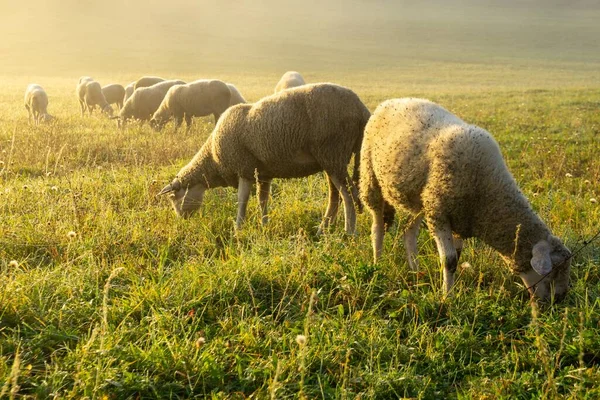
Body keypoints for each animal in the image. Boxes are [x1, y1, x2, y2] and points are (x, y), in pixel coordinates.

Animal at [157, 83, 368, 234]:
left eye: (174, 198)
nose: (182, 222)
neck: (213, 159)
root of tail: (361, 109)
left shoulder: (244, 168)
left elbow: (242, 200)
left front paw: (238, 228)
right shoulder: (263, 173)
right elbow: (262, 200)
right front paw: (263, 224)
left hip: (333, 152)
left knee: (349, 194)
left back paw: (349, 232)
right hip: (330, 159)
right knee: (335, 196)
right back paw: (323, 230)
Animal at [360, 97, 572, 304]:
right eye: (554, 270)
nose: (560, 299)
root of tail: (389, 102)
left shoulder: (458, 217)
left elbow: (457, 255)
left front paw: (453, 287)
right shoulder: (440, 214)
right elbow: (450, 261)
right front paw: (447, 296)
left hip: (422, 199)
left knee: (408, 232)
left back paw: (415, 270)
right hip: (371, 178)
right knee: (377, 227)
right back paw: (377, 262)